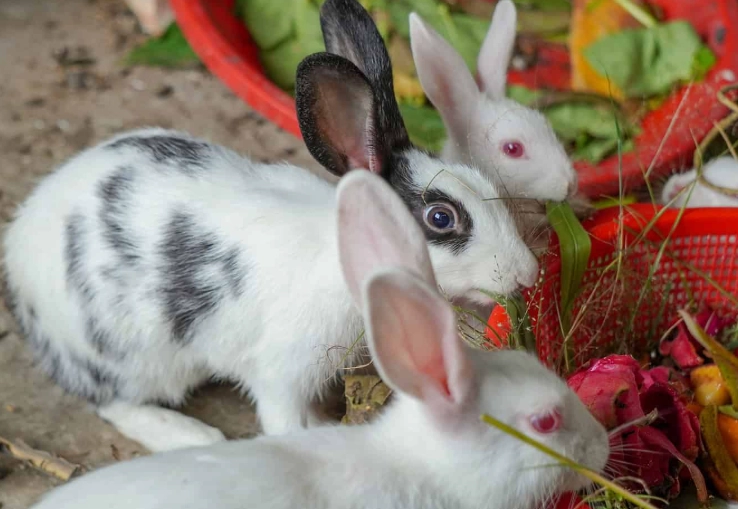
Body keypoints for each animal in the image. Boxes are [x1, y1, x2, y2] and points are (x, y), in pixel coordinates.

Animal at [2, 12, 539, 452]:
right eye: (441, 218)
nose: (528, 273)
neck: (344, 251)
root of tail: (19, 260)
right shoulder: (281, 371)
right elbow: (283, 420)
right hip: (131, 356)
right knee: (114, 403)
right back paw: (189, 435)